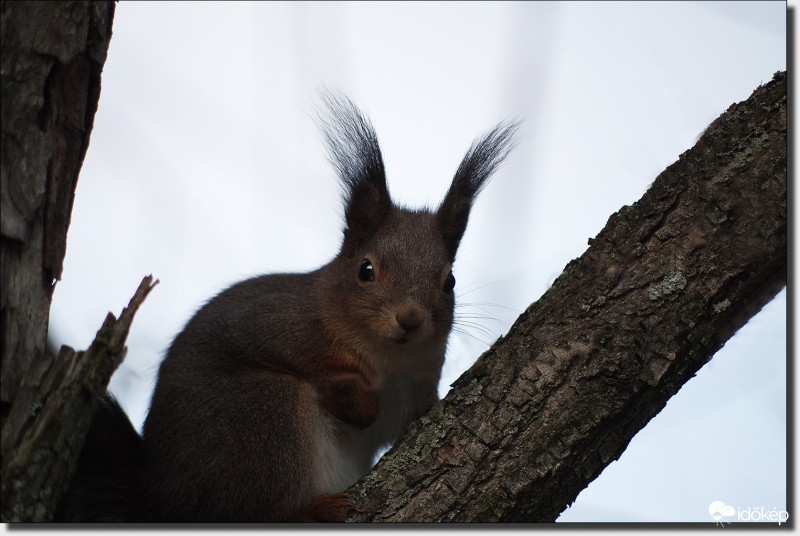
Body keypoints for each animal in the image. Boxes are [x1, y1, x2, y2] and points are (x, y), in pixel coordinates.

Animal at [56, 94, 520, 520]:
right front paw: (360, 400)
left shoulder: (415, 387)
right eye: (366, 270)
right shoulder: (277, 323)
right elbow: (307, 365)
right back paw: (314, 511)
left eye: (450, 281)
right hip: (264, 411)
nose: (410, 319)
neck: (390, 358)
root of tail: (161, 502)